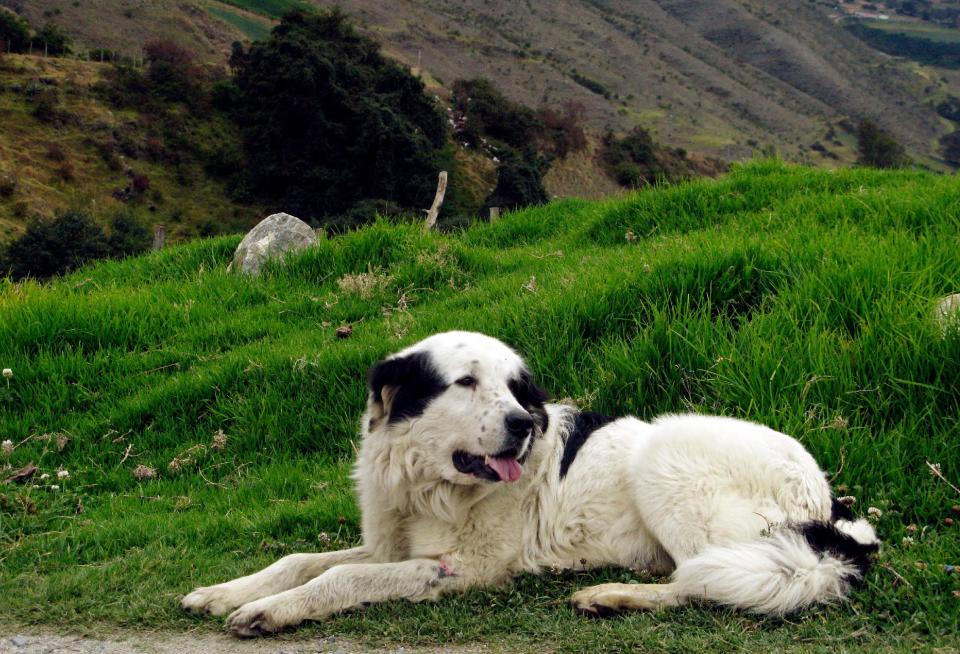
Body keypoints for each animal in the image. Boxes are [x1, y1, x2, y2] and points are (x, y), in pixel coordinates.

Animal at [180, 330, 876, 640]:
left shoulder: (465, 566)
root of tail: (828, 502)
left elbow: (345, 576)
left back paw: (611, 595)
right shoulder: (390, 543)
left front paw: (271, 610)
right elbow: (301, 558)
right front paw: (223, 591)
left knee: (704, 580)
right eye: (465, 382)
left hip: (664, 452)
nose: (520, 423)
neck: (428, 483)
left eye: (517, 391)